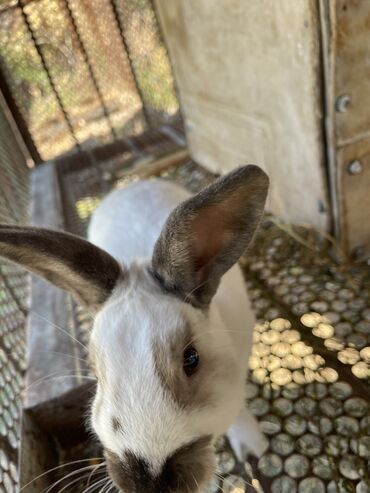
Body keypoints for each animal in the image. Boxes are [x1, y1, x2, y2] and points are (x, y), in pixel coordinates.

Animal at [0, 163, 268, 490]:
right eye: (97, 374)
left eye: (192, 359)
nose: (149, 483)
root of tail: (132, 184)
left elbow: (239, 409)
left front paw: (253, 448)